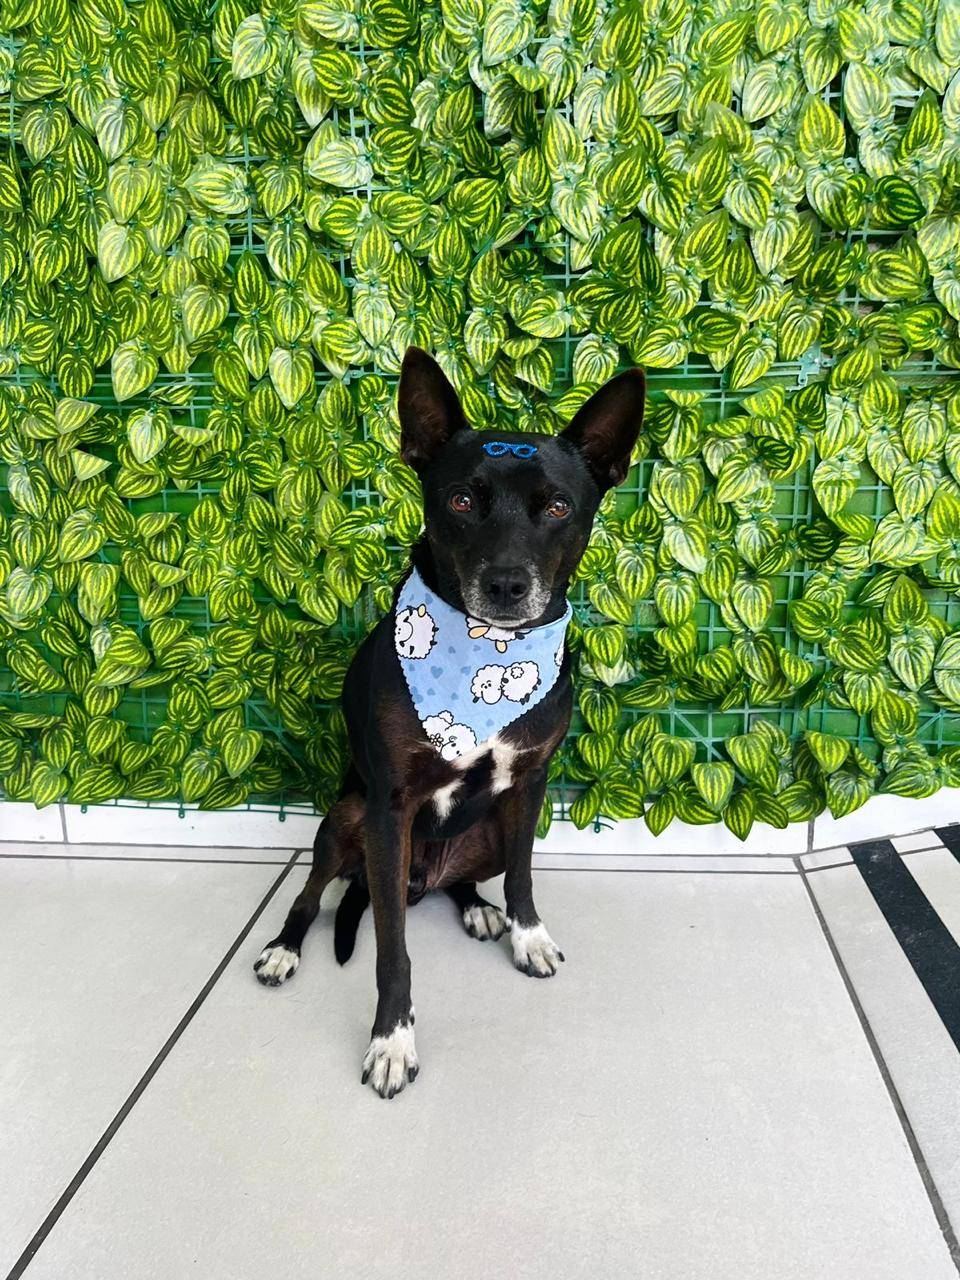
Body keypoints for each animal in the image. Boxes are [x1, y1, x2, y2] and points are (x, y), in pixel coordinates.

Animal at [254, 347, 645, 1097]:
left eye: (558, 507)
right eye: (462, 501)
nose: (507, 585)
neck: (485, 657)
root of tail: (421, 880)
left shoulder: (530, 784)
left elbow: (524, 877)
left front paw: (527, 934)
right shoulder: (389, 808)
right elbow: (392, 951)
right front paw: (391, 1040)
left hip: (483, 834)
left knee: (473, 876)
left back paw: (475, 906)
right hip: (345, 822)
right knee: (313, 895)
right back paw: (284, 949)